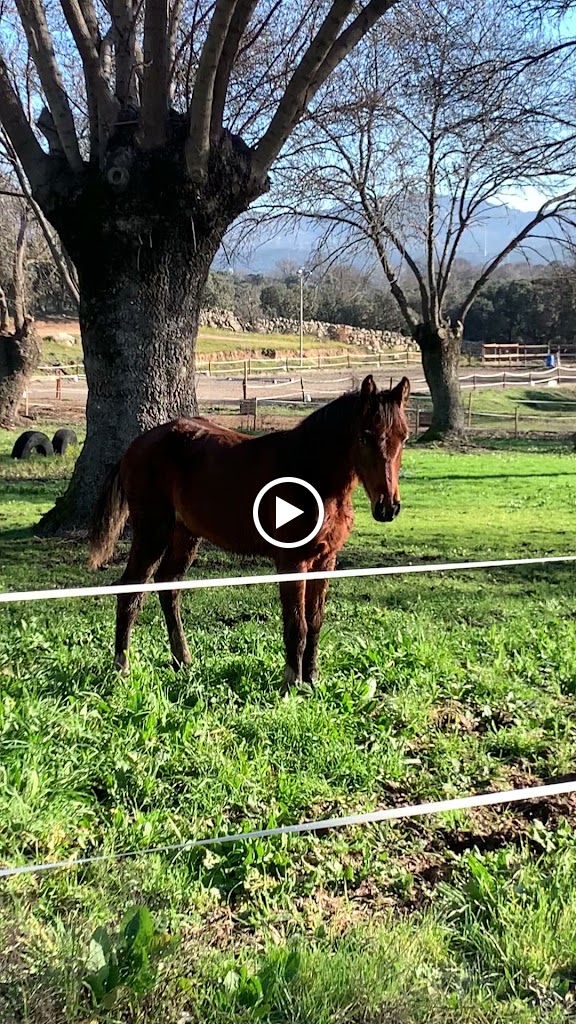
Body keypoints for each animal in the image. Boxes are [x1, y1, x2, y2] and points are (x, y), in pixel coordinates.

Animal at [88, 374, 410, 687]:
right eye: (365, 436)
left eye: (403, 437)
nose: (388, 507)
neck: (311, 474)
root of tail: (135, 446)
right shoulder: (292, 562)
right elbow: (297, 624)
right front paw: (291, 684)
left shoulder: (325, 560)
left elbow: (315, 621)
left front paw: (312, 680)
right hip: (152, 532)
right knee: (130, 591)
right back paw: (122, 667)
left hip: (185, 535)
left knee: (169, 587)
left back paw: (183, 660)